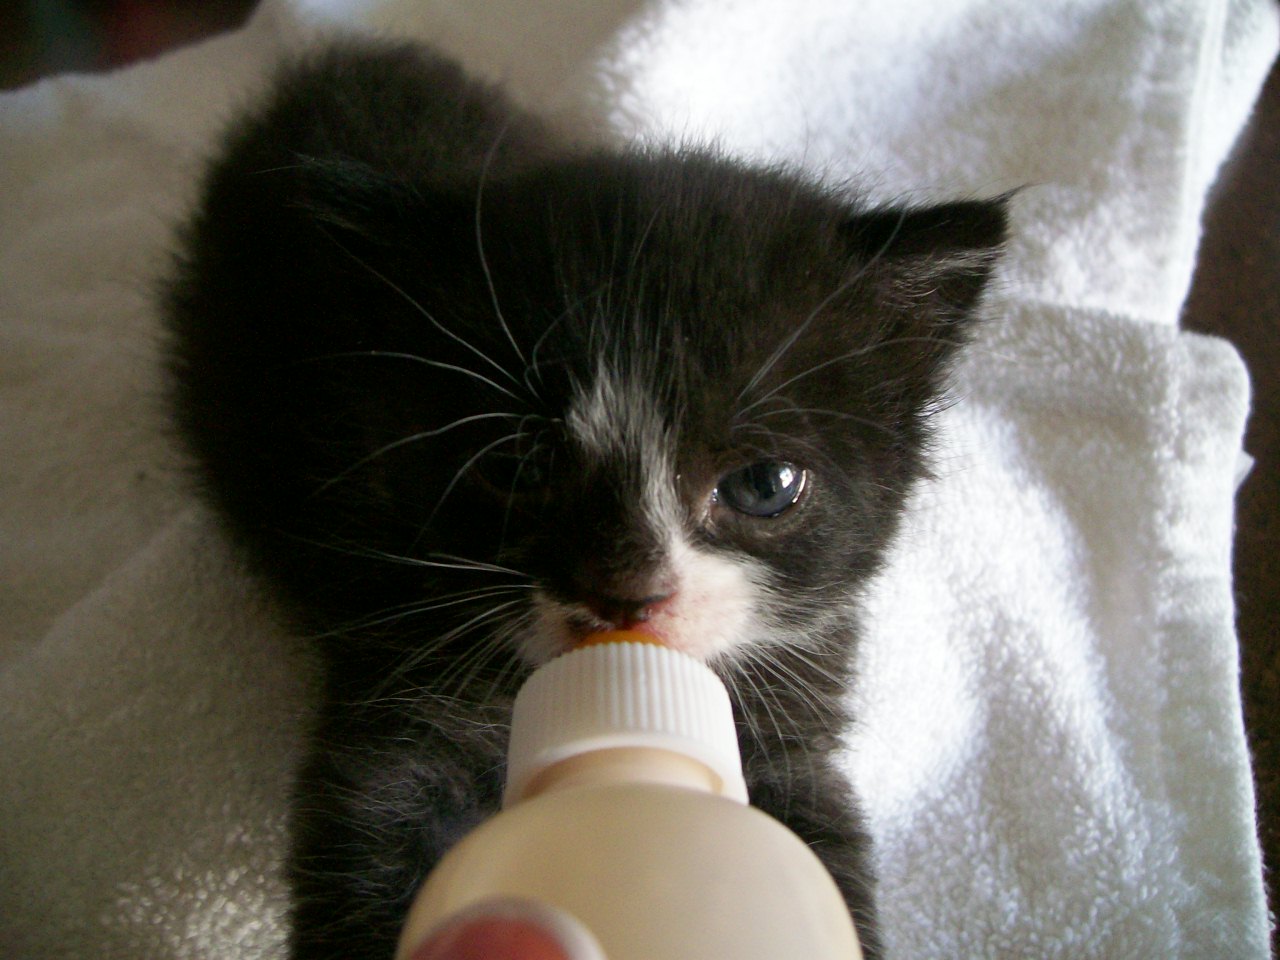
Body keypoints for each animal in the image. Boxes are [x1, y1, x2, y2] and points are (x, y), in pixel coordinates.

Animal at [157, 39, 998, 960]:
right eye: (517, 464)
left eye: (762, 485)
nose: (626, 593)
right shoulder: (401, 672)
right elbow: (370, 828)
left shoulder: (791, 707)